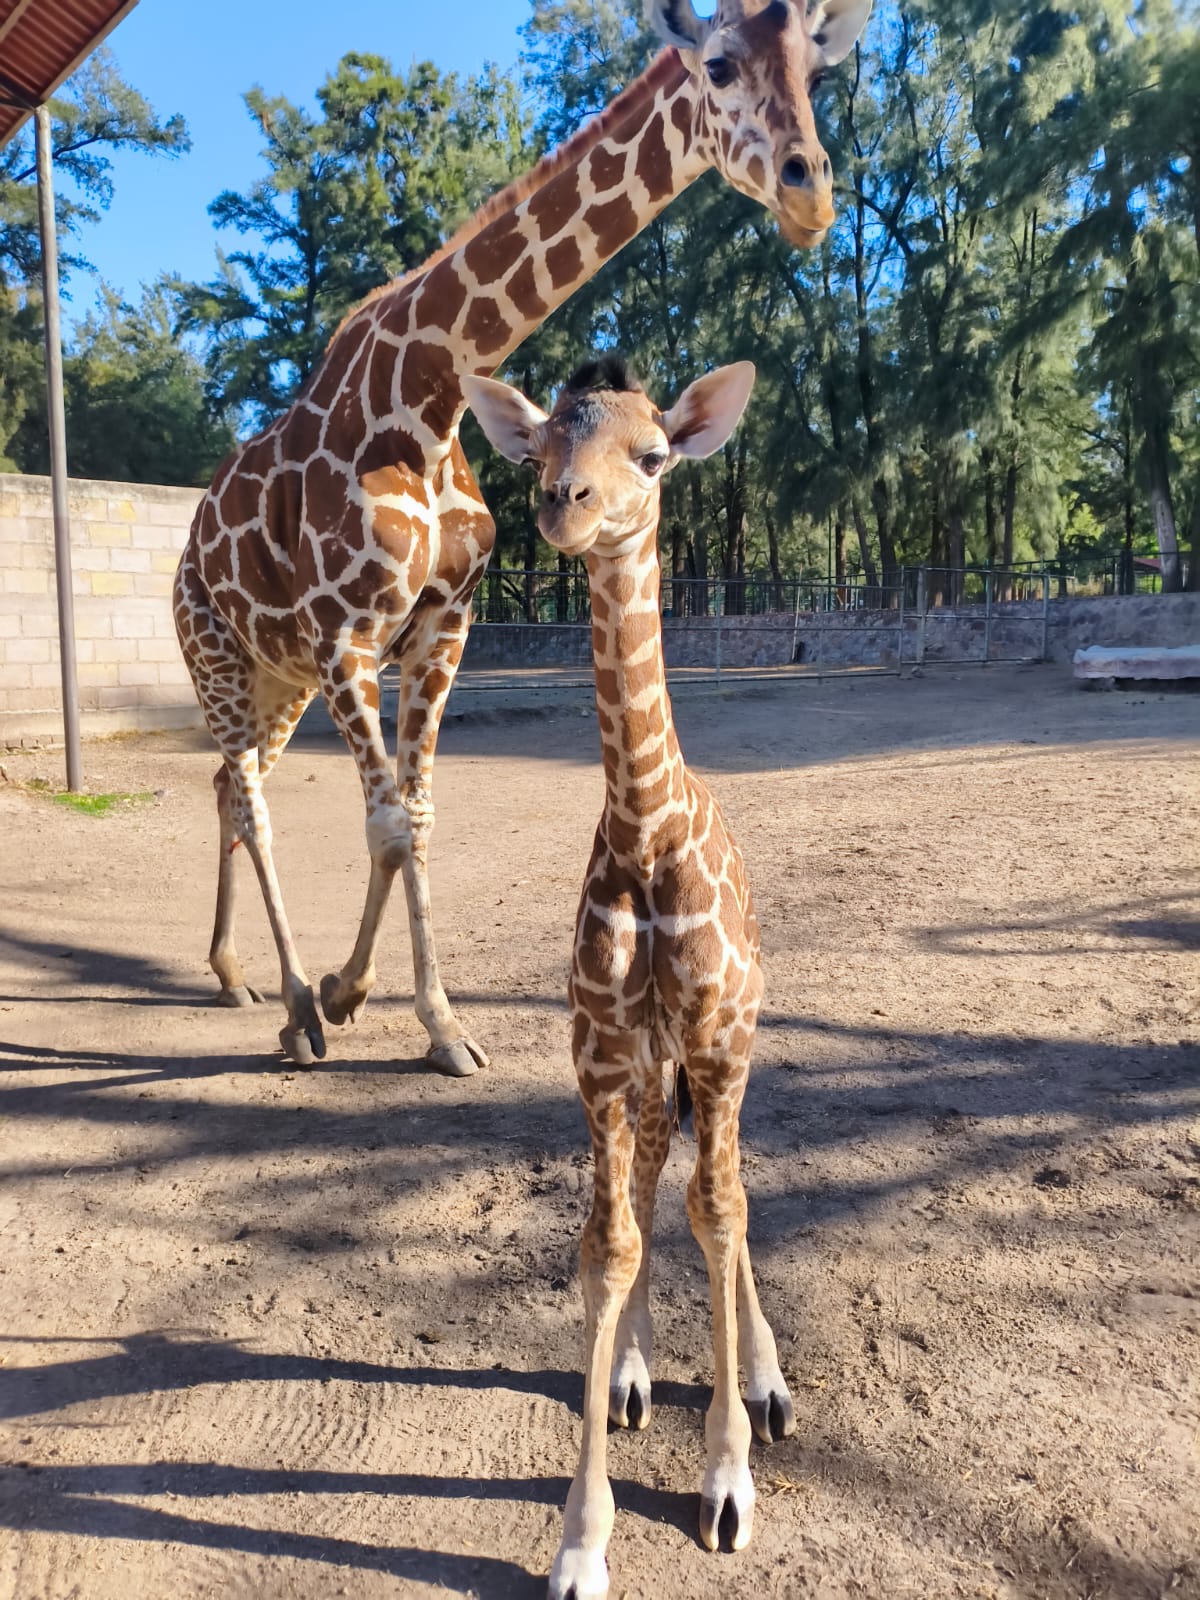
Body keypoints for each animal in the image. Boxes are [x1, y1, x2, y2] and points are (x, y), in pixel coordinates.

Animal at [173, 0, 872, 1070]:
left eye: (817, 69)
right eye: (716, 65)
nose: (811, 190)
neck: (422, 398)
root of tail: (187, 552)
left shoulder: (440, 623)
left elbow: (415, 814)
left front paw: (394, 1004)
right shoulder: (345, 633)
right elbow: (388, 822)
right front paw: (354, 1002)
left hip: (272, 680)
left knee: (226, 784)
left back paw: (233, 972)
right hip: (215, 653)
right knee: (248, 798)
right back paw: (287, 1008)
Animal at [465, 356, 789, 1599]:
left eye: (652, 456)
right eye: (541, 446)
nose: (566, 504)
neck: (649, 833)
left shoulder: (717, 1038)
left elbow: (723, 1210)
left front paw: (728, 1482)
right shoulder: (604, 1052)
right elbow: (610, 1243)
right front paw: (580, 1539)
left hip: (721, 1050)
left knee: (723, 1194)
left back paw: (768, 1381)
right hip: (652, 1074)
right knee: (654, 1184)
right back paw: (638, 1374)